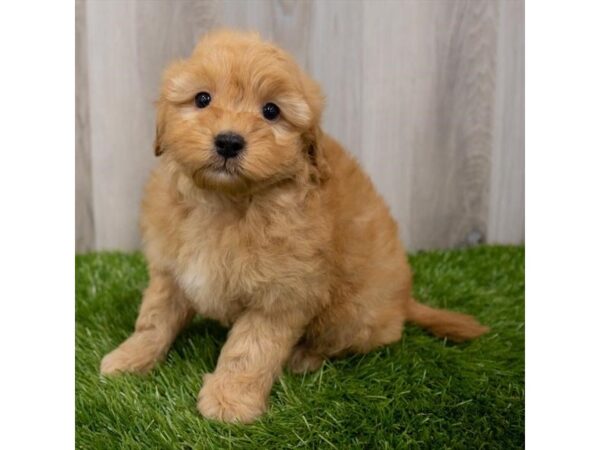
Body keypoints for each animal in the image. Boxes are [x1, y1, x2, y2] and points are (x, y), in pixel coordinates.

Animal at [99, 29, 488, 424]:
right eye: (202, 99)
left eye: (271, 111)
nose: (228, 141)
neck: (226, 202)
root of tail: (404, 301)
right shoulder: (171, 270)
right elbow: (154, 318)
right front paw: (129, 359)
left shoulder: (281, 293)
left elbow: (250, 349)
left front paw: (230, 400)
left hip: (352, 312)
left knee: (344, 342)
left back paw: (304, 358)